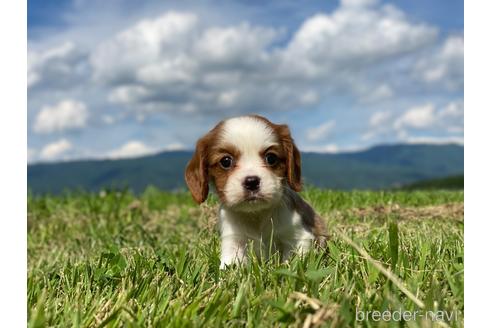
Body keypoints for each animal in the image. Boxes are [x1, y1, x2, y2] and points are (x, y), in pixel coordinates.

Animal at [184, 114, 326, 268]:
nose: (251, 181)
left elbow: (293, 262)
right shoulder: (234, 240)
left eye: (271, 158)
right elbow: (231, 265)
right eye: (226, 161)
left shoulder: (298, 236)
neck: (256, 214)